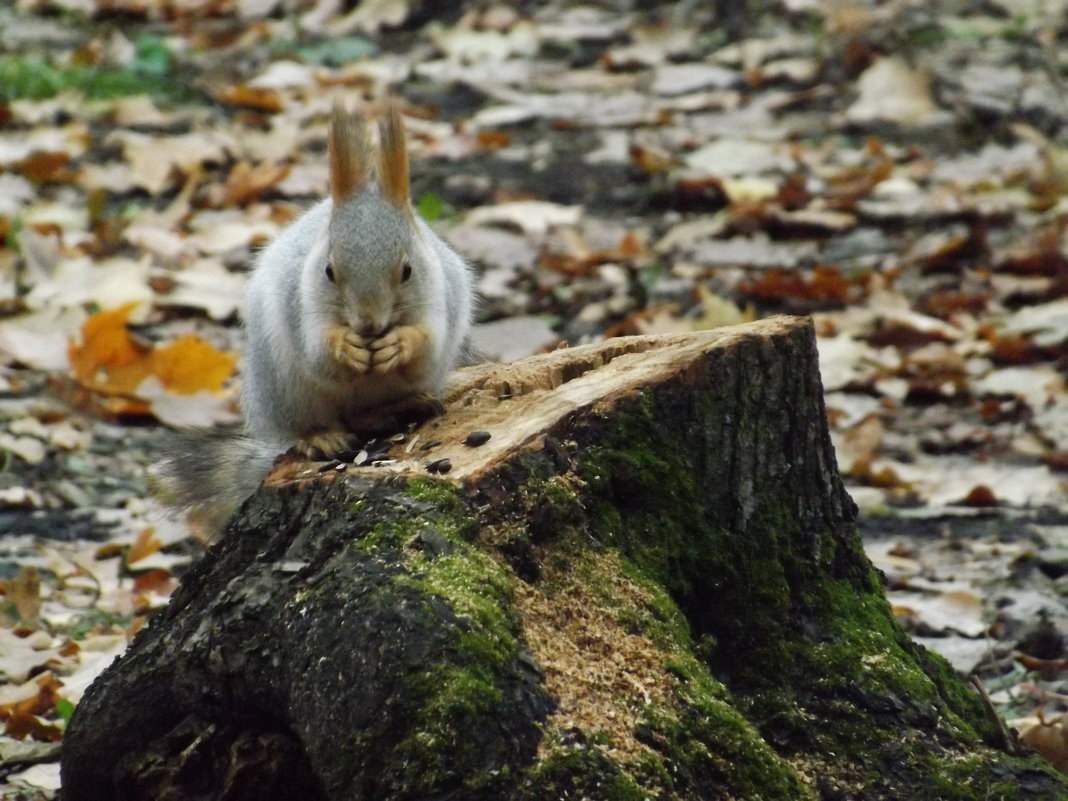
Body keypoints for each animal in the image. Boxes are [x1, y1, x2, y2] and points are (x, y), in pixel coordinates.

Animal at [155, 101, 474, 540]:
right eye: (329, 271)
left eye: (407, 270)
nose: (368, 325)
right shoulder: (300, 305)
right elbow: (320, 354)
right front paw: (346, 347)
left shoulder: (440, 299)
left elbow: (426, 343)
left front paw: (399, 344)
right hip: (283, 389)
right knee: (311, 425)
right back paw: (322, 438)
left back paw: (403, 406)